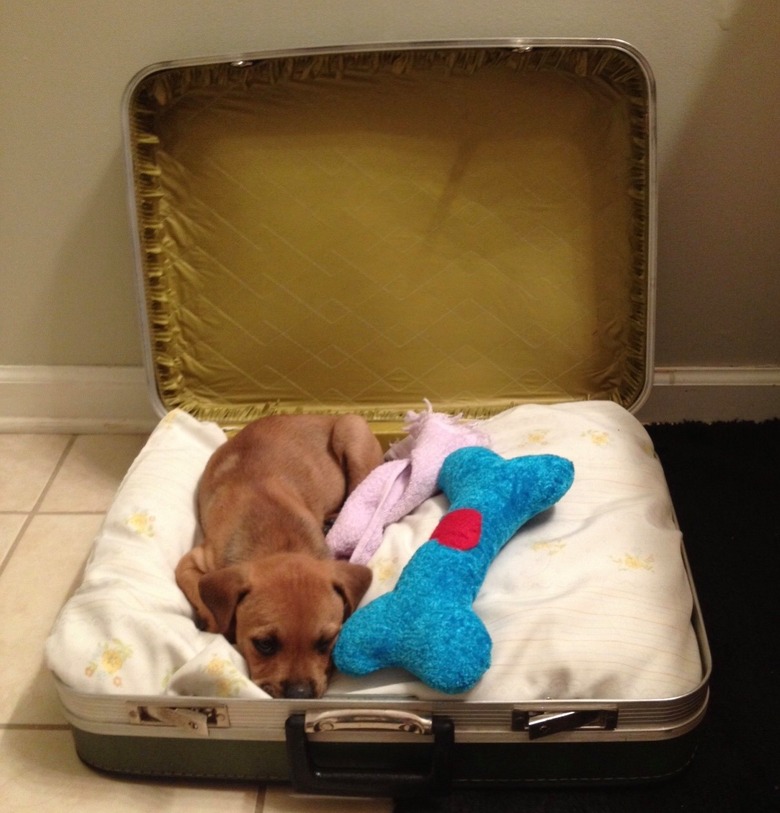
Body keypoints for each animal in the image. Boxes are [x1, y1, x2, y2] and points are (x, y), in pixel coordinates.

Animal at [177, 412, 384, 696]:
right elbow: (205, 600)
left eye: (326, 642)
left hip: (353, 435)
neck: (280, 542)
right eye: (265, 644)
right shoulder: (192, 561)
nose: (300, 695)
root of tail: (325, 414)